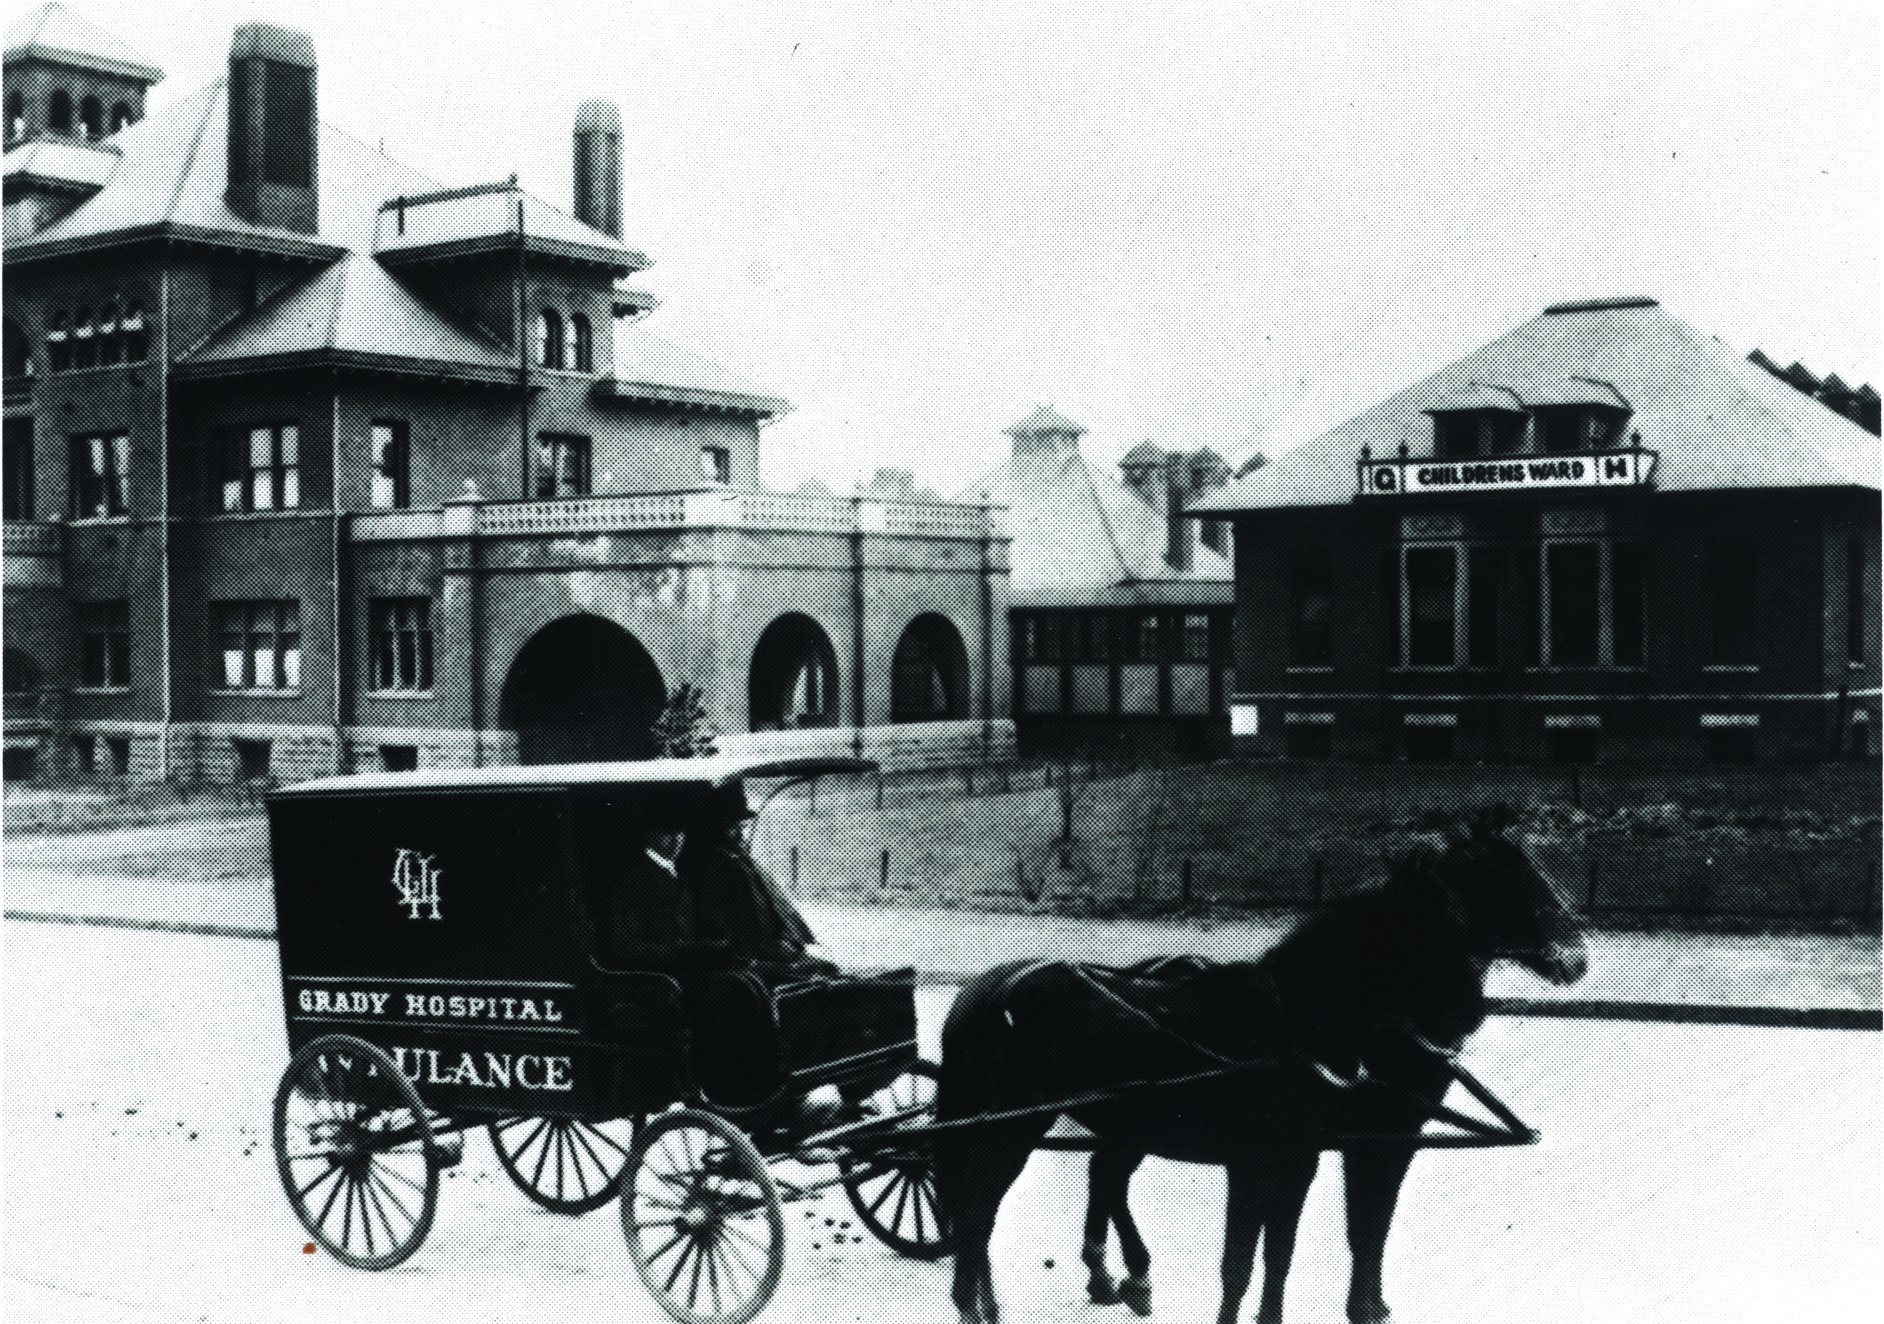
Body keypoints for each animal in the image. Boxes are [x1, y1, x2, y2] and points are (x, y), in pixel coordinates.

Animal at [934, 806, 1582, 1324]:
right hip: (1013, 1126)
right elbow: (1245, 1261)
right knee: (979, 1210)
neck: (1305, 1019)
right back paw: (985, 1304)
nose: (1576, 955)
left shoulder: (1309, 1155)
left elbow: (1287, 1251)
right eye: (1516, 881)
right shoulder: (1271, 1157)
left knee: (1038, 1193)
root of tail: (987, 992)